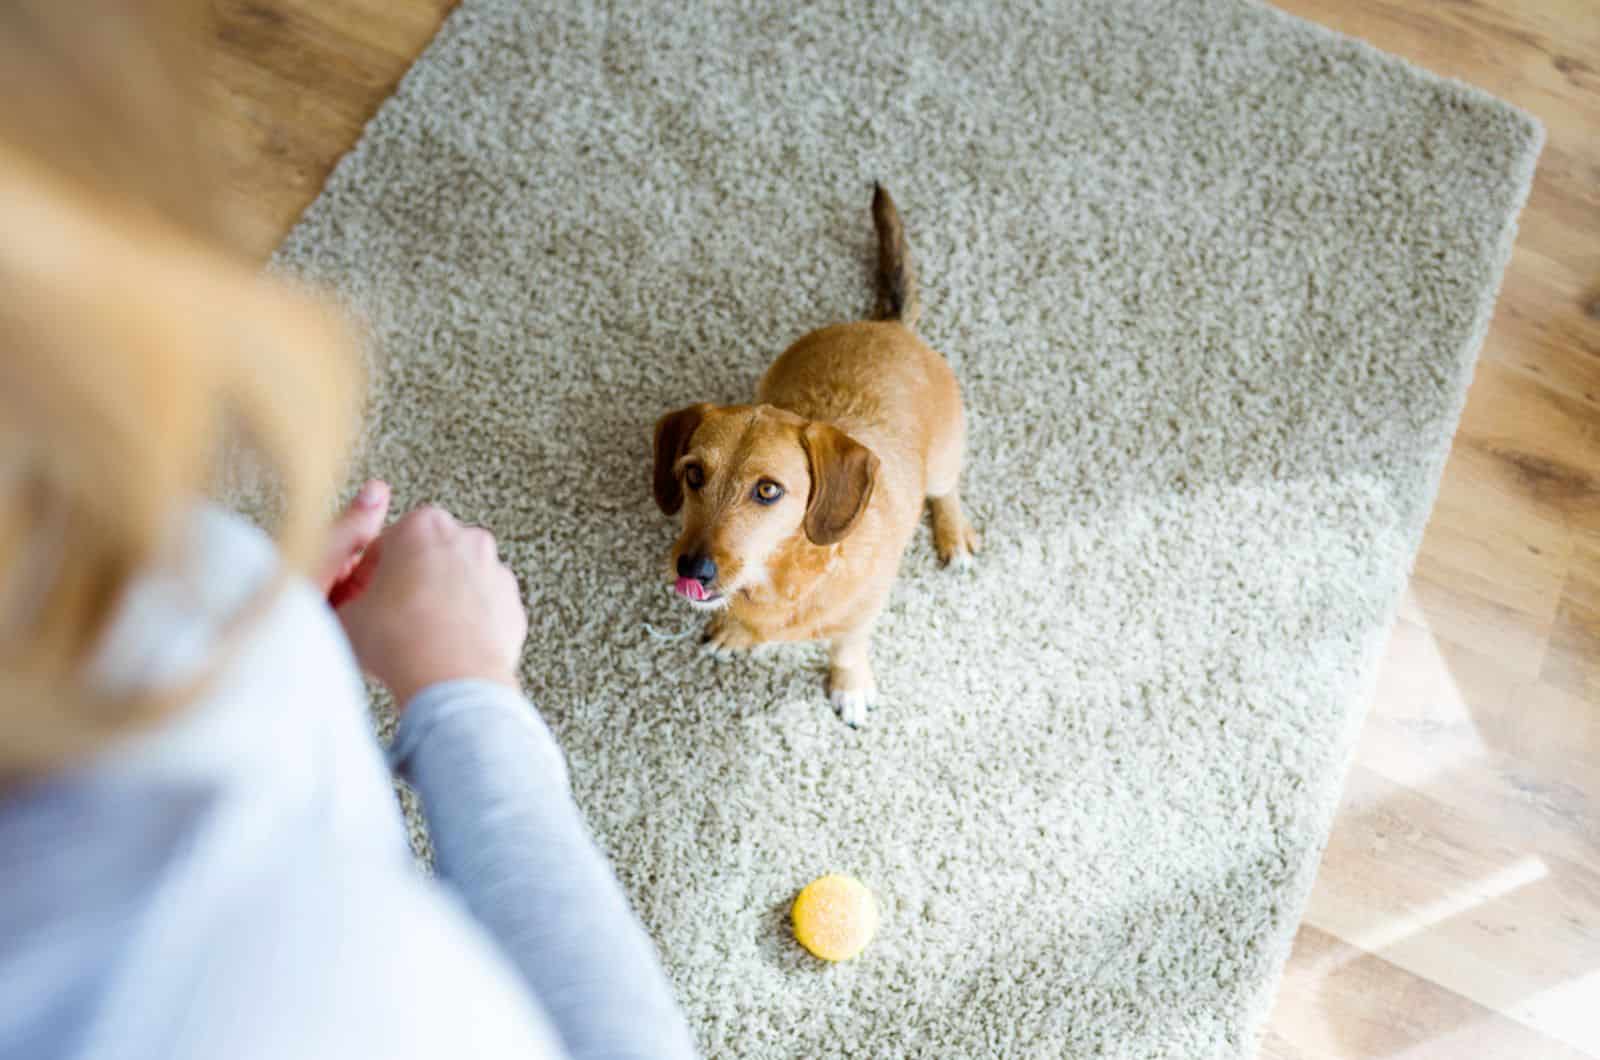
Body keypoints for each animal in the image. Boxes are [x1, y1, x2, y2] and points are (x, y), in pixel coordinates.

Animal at [649, 184, 972, 730]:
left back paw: (955, 535)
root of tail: (889, 327)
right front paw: (735, 631)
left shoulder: (862, 615)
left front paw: (850, 685)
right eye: (693, 474)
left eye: (768, 490)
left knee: (946, 491)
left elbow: (848, 647)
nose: (693, 569)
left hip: (945, 460)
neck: (783, 575)